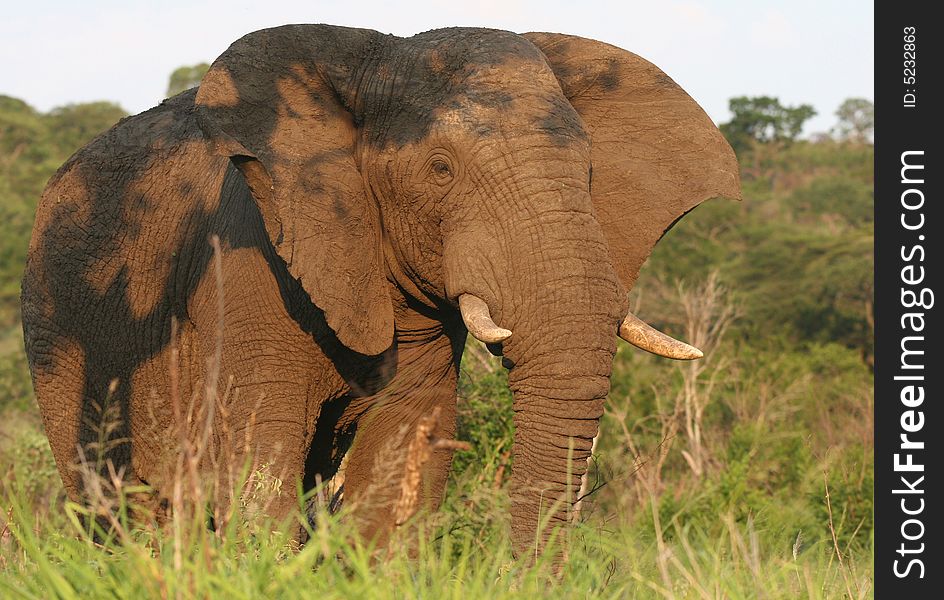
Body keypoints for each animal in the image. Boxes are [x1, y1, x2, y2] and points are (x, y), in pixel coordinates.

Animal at [16, 25, 736, 556]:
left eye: (587, 173)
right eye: (441, 170)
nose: (514, 572)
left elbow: (402, 456)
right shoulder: (247, 265)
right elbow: (259, 462)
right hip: (58, 331)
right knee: (121, 502)